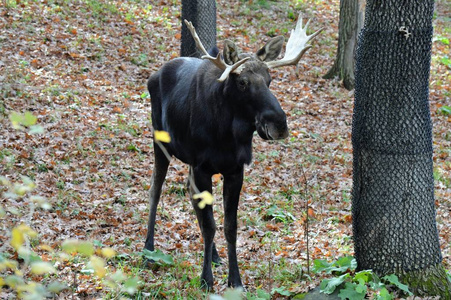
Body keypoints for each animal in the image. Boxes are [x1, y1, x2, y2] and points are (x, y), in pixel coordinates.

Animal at [145, 15, 322, 290]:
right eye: (242, 82)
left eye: (270, 80)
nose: (279, 124)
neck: (226, 136)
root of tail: (153, 75)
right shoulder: (202, 167)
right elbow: (210, 225)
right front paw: (206, 279)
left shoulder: (235, 170)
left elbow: (229, 226)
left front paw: (235, 280)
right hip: (160, 141)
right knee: (155, 188)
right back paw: (148, 250)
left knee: (189, 193)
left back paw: (214, 256)